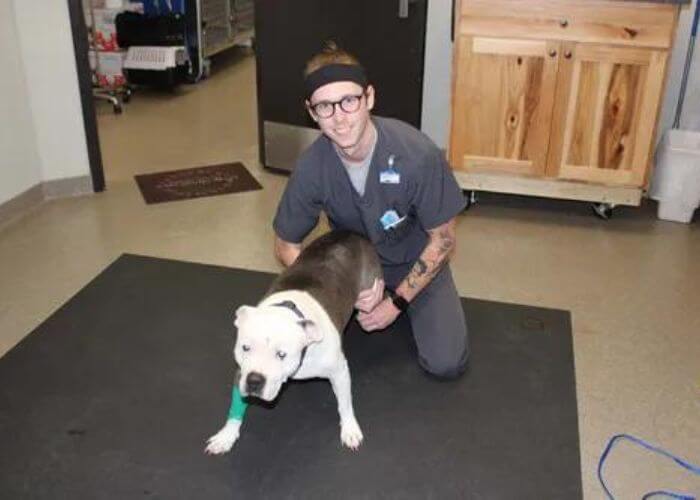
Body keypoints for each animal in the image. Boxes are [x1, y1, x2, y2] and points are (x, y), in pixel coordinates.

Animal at [205, 230, 382, 454]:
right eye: (245, 348)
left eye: (281, 354)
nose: (255, 380)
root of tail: (351, 233)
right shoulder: (241, 372)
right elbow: (236, 406)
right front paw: (226, 435)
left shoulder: (339, 371)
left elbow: (345, 403)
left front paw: (350, 428)